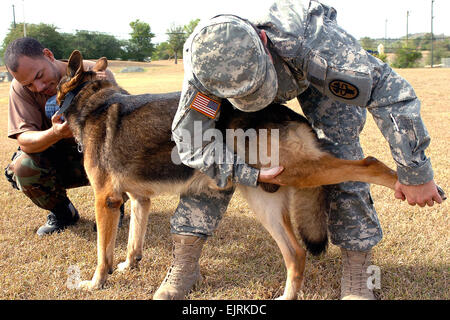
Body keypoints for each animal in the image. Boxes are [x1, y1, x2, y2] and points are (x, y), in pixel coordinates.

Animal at [56, 50, 398, 300]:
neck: (93, 100)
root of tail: (288, 113)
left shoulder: (106, 201)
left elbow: (103, 253)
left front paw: (96, 283)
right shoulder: (139, 199)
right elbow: (132, 243)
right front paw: (128, 266)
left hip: (297, 174)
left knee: (370, 164)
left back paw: (405, 183)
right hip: (266, 199)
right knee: (297, 253)